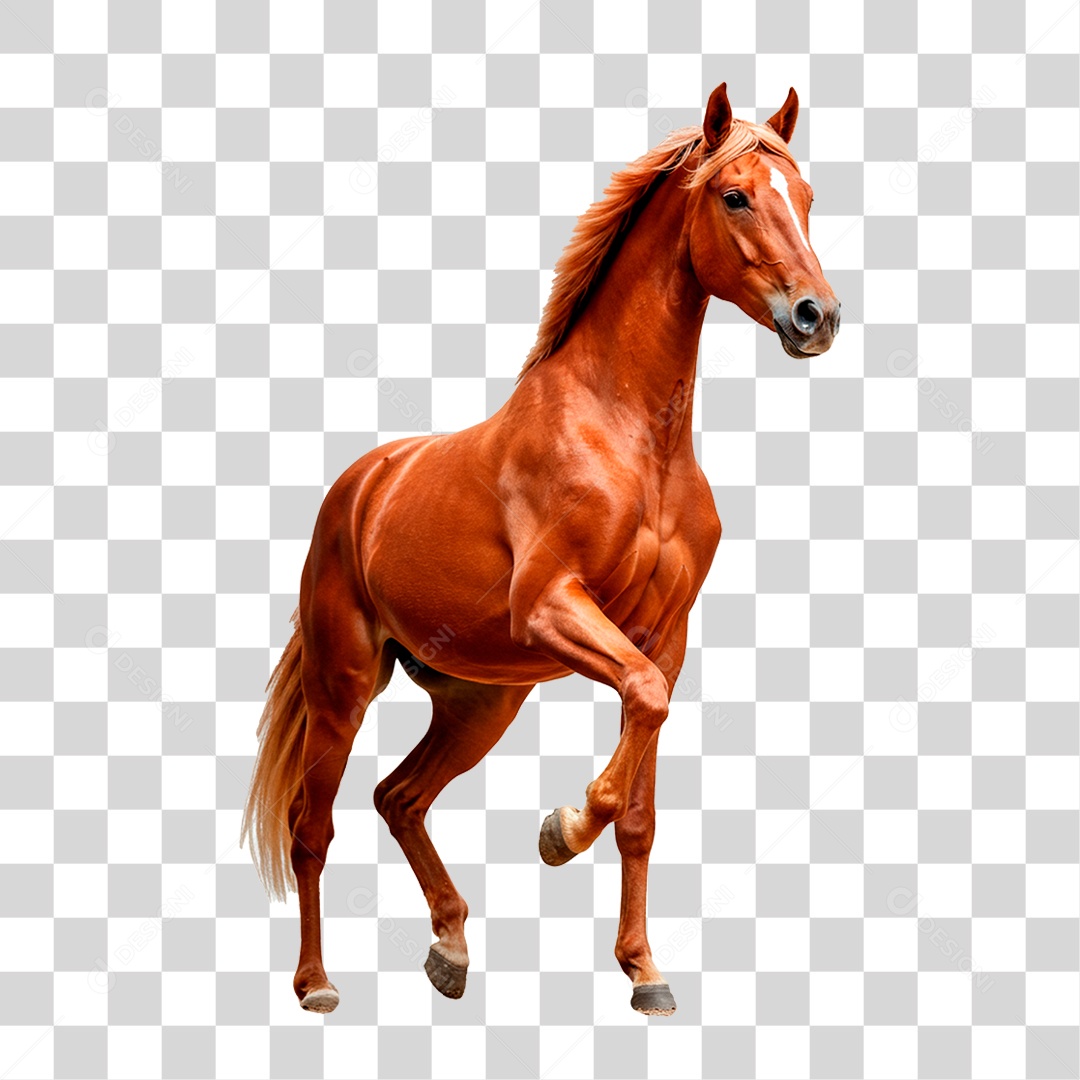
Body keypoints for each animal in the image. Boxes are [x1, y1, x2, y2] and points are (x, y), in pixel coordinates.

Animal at [241, 82, 839, 1018]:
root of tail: (360, 488)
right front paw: (562, 832)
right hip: (344, 686)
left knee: (398, 796)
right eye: (735, 195)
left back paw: (450, 949)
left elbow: (642, 803)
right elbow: (635, 716)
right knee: (314, 826)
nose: (817, 317)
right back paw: (316, 985)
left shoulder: (664, 638)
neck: (629, 436)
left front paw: (645, 972)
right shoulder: (553, 606)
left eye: (806, 198)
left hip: (481, 701)